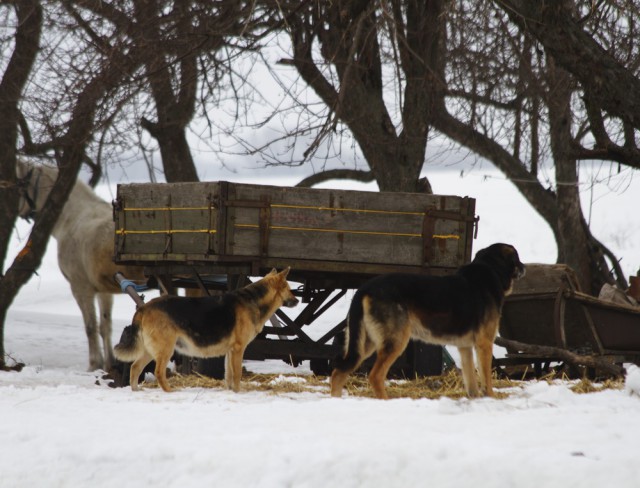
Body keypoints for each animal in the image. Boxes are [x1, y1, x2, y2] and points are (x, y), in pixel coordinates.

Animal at [15, 160, 145, 370]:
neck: (73, 218)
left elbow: (90, 327)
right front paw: (109, 365)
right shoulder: (103, 290)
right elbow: (104, 326)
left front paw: (94, 364)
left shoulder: (80, 287)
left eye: (19, 186)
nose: (18, 212)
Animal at [114, 268, 298, 390]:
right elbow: (237, 374)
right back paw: (169, 391)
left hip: (151, 350)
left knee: (135, 368)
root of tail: (144, 308)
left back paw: (136, 391)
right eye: (289, 289)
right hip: (165, 348)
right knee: (158, 372)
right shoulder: (238, 349)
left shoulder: (230, 351)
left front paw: (231, 392)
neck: (254, 300)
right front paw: (238, 392)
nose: (297, 301)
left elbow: (229, 375)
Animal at [330, 244, 524, 400]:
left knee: (338, 373)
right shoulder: (484, 344)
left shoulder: (465, 347)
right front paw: (491, 398)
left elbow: (471, 382)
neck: (489, 270)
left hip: (366, 343)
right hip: (395, 341)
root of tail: (364, 289)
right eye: (517, 258)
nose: (525, 267)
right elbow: (486, 378)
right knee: (375, 376)